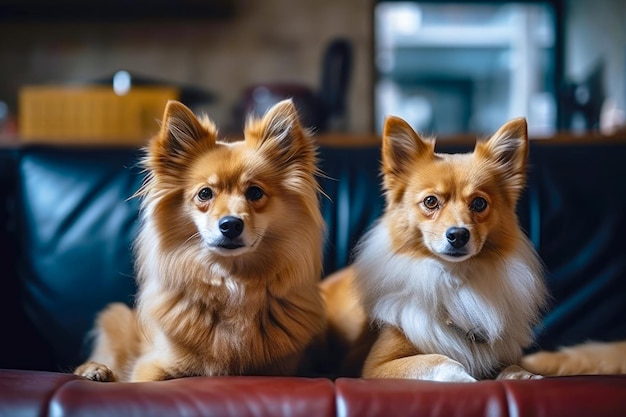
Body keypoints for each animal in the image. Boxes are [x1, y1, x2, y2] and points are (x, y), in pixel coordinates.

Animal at [75, 99, 324, 382]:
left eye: (255, 192)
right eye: (205, 194)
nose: (230, 224)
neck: (234, 281)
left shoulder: (285, 369)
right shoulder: (151, 367)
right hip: (115, 318)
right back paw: (94, 370)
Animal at [322, 114, 544, 380]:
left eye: (479, 203)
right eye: (430, 202)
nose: (458, 235)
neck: (453, 278)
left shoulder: (504, 354)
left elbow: (513, 366)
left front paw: (526, 376)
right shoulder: (376, 366)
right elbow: (441, 359)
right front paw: (467, 379)